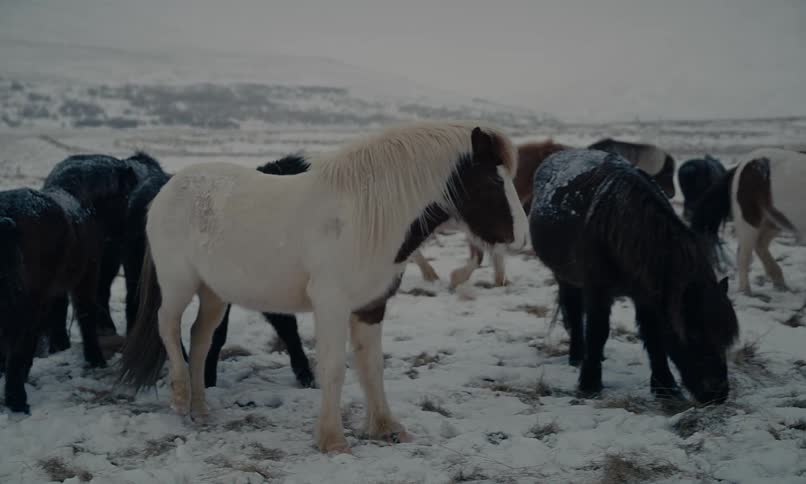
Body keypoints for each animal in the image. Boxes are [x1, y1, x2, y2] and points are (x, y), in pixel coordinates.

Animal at [0, 155, 137, 413]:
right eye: (125, 196)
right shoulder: (85, 279)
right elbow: (85, 316)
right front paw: (95, 359)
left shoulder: (51, 291)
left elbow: (56, 315)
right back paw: (18, 401)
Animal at [118, 121, 529, 453]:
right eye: (494, 180)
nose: (522, 237)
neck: (365, 216)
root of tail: (167, 188)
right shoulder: (331, 304)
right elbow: (333, 369)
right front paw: (333, 440)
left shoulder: (371, 306)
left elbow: (372, 368)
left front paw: (386, 428)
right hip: (178, 284)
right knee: (168, 327)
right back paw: (179, 396)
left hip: (215, 293)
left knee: (200, 339)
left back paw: (201, 409)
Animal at [530, 149, 738, 404]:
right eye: (695, 335)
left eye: (725, 337)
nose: (718, 393)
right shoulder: (598, 290)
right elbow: (598, 332)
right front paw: (589, 383)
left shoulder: (646, 295)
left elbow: (654, 336)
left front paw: (665, 386)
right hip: (565, 277)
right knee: (574, 312)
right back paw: (577, 356)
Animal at [691, 148, 805, 295]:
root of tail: (741, 165)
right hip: (749, 220)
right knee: (743, 254)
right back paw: (746, 290)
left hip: (773, 220)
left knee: (760, 244)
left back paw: (779, 282)